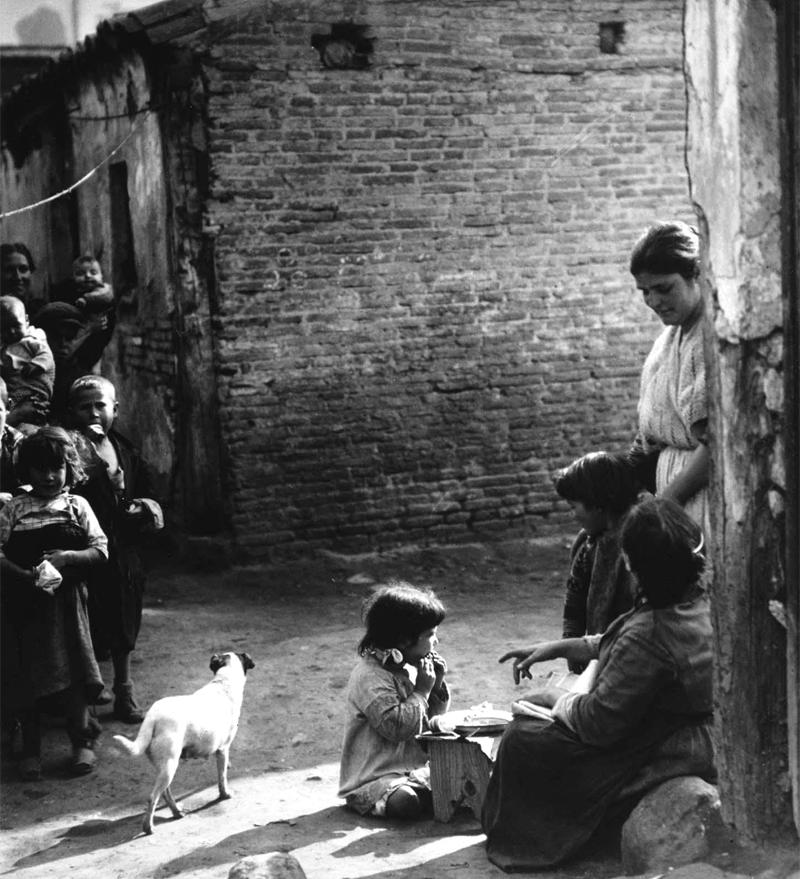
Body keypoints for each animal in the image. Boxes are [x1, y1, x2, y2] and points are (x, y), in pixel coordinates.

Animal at [112, 652, 255, 832]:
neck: (223, 682)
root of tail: (153, 716)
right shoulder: (223, 749)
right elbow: (222, 778)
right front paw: (225, 795)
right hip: (170, 765)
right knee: (153, 797)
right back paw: (149, 827)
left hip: (165, 767)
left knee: (165, 793)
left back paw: (176, 812)